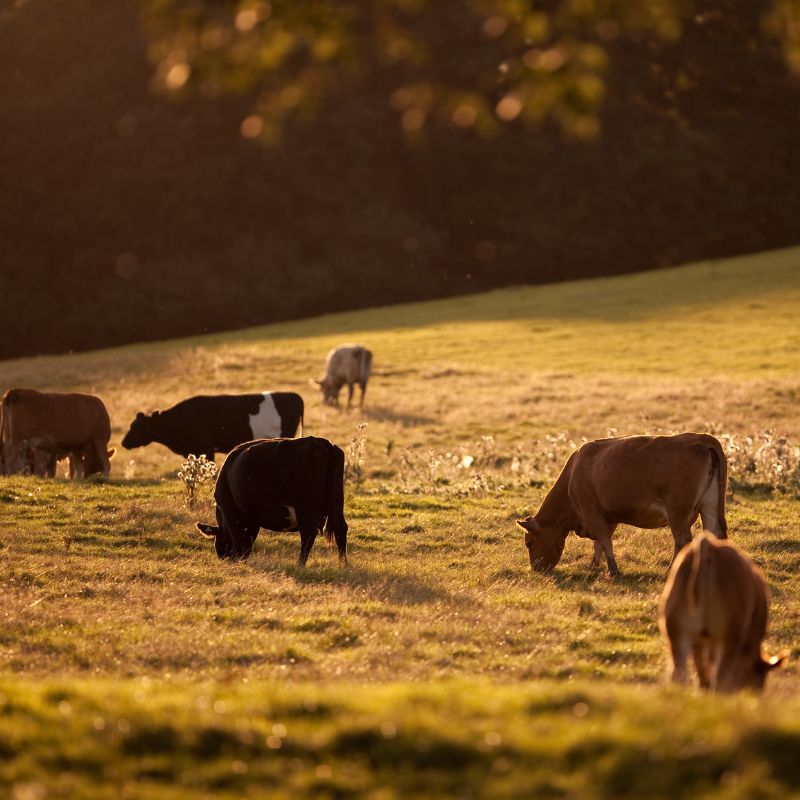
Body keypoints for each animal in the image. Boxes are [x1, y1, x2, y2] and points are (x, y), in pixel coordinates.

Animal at [195, 436, 348, 565]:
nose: (225, 559)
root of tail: (323, 443)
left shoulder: (230, 512)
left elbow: (238, 541)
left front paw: (239, 561)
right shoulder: (253, 520)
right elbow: (248, 542)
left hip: (306, 508)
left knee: (308, 534)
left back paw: (300, 565)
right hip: (336, 503)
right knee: (341, 529)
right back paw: (343, 564)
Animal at [516, 433, 728, 577]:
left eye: (529, 543)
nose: (536, 569)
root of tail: (700, 438)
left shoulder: (592, 513)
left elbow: (604, 541)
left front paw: (613, 571)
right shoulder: (608, 517)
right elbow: (599, 544)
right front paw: (594, 566)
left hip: (678, 513)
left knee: (682, 540)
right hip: (709, 507)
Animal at [659, 532, 786, 692]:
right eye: (759, 675)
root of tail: (710, 548)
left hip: (677, 633)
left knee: (681, 674)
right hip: (728, 638)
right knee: (720, 678)